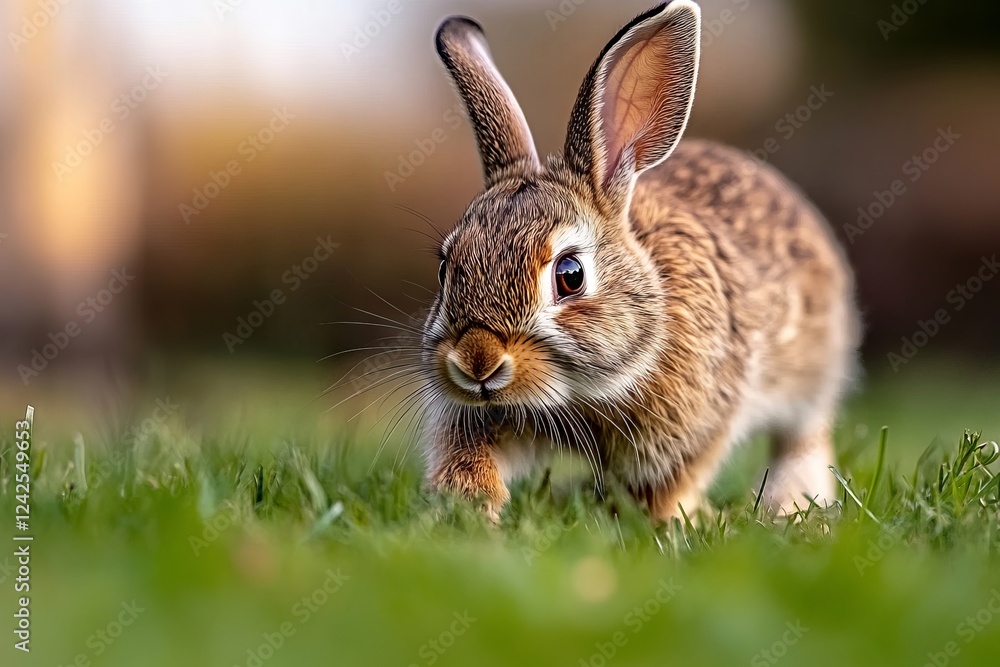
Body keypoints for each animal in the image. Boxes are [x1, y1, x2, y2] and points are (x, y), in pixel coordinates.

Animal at [419, 0, 860, 524]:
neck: (584, 393)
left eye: (570, 275)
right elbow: (472, 453)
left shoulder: (699, 425)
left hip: (812, 376)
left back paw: (788, 504)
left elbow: (668, 485)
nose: (477, 362)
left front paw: (676, 520)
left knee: (801, 438)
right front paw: (472, 508)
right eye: (445, 268)